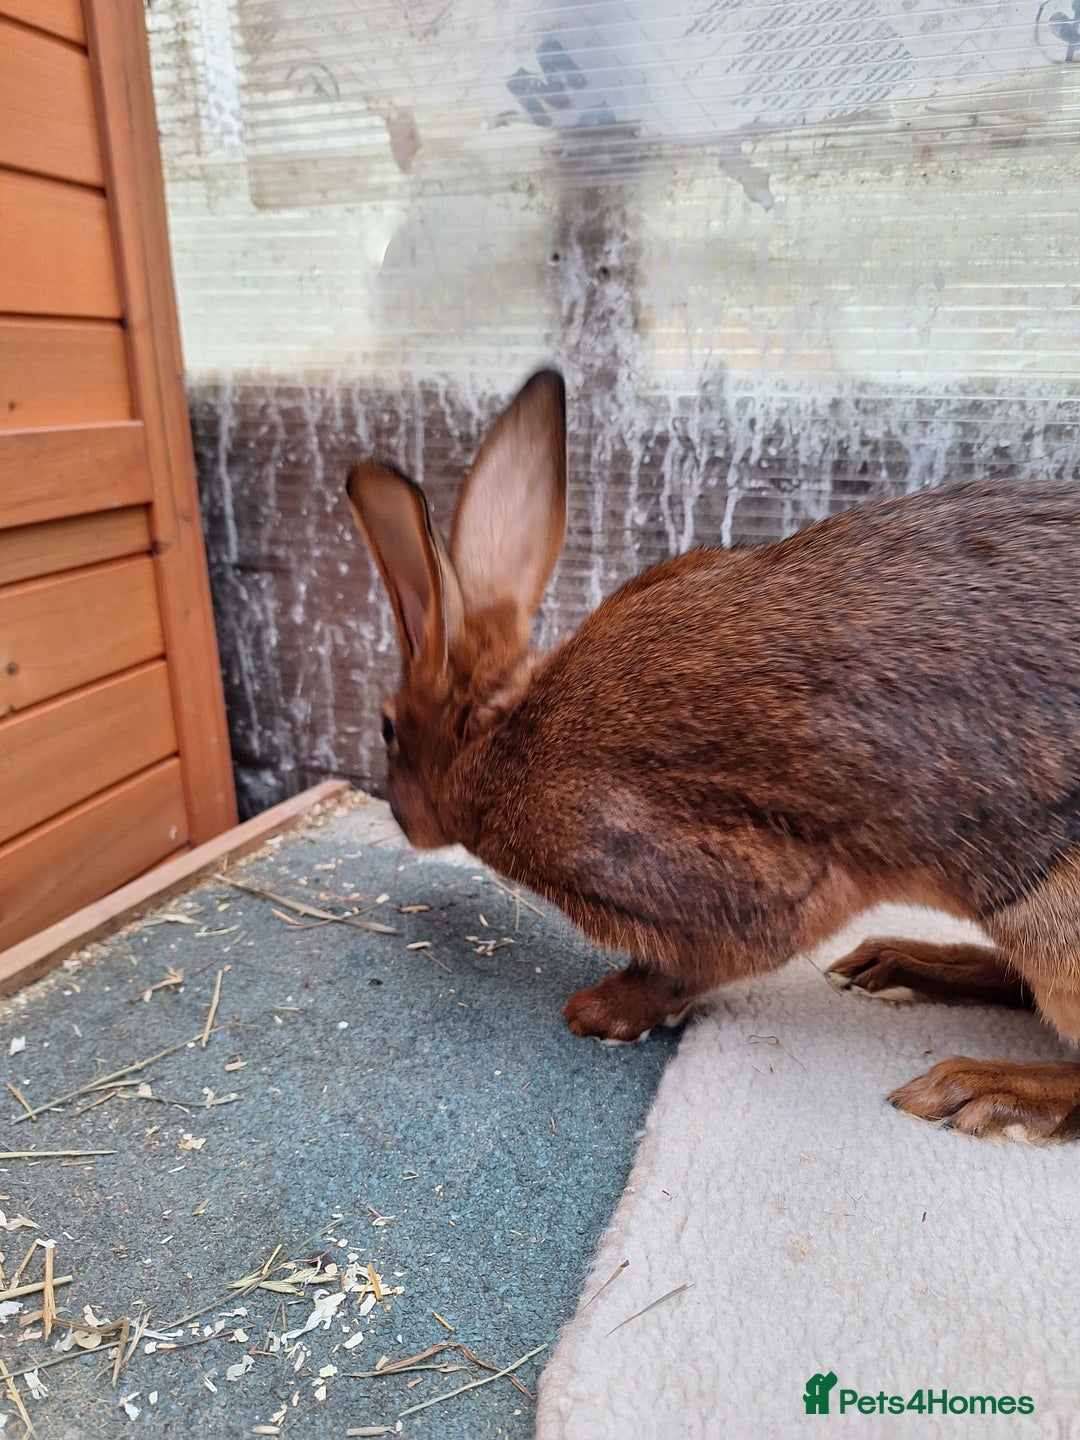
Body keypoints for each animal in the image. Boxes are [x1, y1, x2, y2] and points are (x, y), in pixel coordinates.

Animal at [346, 368, 1080, 1143]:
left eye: (388, 728)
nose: (400, 819)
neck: (499, 732)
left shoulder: (718, 881)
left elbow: (686, 966)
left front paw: (598, 1013)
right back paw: (893, 963)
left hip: (1050, 926)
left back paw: (975, 1085)